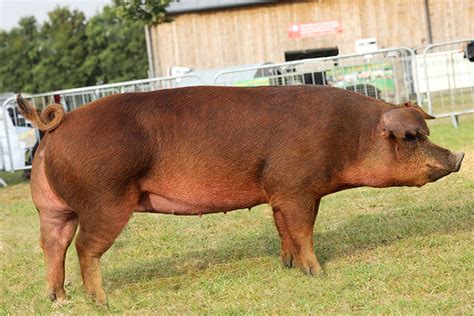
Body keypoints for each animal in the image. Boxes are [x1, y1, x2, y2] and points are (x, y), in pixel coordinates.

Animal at [16, 86, 464, 304]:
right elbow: (304, 230)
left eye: (425, 131)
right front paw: (318, 273)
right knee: (84, 248)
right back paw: (100, 301)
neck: (347, 138)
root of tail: (57, 126)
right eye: (412, 137)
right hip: (105, 199)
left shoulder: (279, 191)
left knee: (52, 245)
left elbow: (284, 230)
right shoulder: (297, 187)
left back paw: (57, 298)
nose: (459, 156)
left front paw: (288, 266)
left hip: (52, 207)